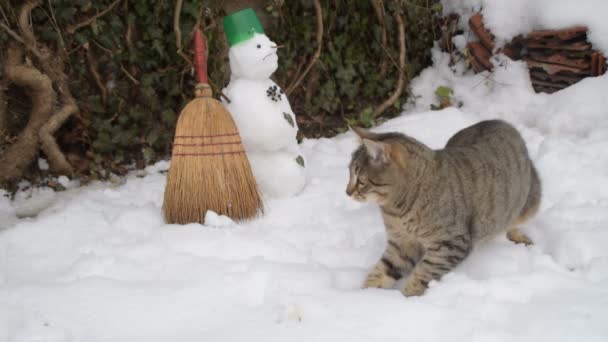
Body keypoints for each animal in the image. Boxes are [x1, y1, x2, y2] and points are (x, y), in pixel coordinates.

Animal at [346, 120, 540, 296]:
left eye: (360, 181)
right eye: (349, 175)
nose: (347, 192)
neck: (396, 209)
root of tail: (500, 121)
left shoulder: (450, 244)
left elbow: (422, 274)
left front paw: (407, 297)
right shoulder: (400, 244)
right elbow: (382, 270)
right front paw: (365, 296)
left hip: (529, 201)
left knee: (513, 222)